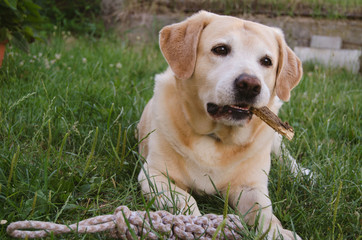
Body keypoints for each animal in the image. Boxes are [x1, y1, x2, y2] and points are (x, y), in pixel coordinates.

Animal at [137, 10, 304, 238]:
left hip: (274, 140)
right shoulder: (153, 175)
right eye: (221, 49)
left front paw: (278, 232)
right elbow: (185, 199)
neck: (216, 137)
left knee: (286, 156)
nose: (250, 85)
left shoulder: (251, 187)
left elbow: (265, 212)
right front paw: (194, 224)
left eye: (267, 61)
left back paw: (304, 174)